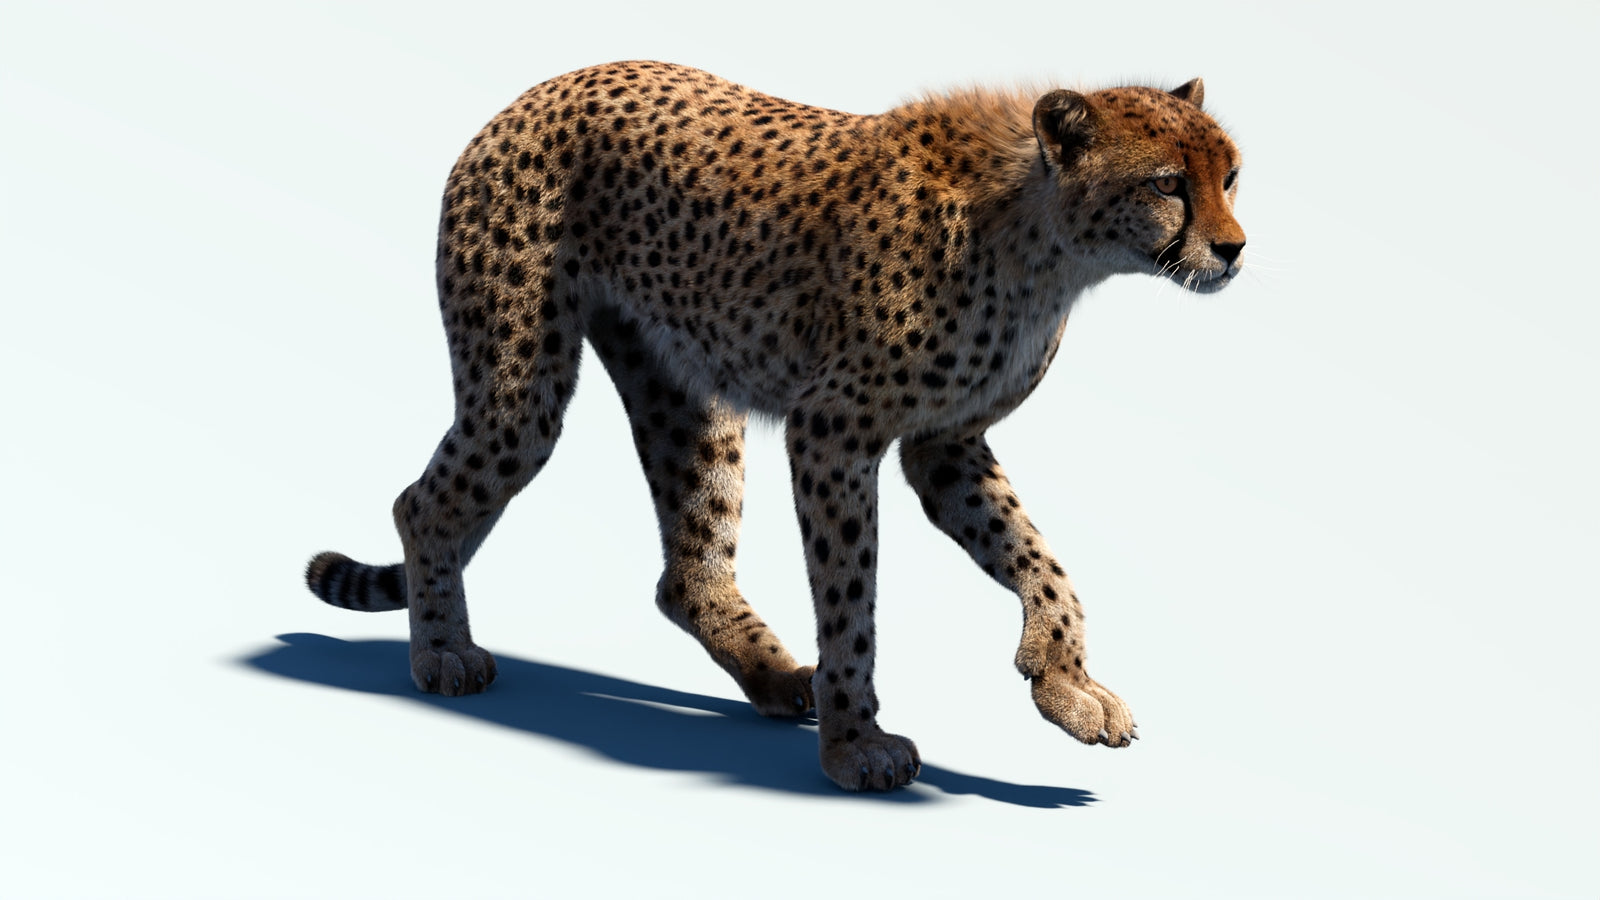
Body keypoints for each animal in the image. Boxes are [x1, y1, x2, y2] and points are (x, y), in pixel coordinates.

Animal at [304, 60, 1245, 792]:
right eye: (1167, 183)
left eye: (1230, 175)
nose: (1235, 248)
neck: (1045, 241)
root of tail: (536, 92)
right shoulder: (834, 432)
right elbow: (852, 600)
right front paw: (857, 744)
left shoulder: (943, 446)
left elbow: (1041, 560)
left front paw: (1066, 682)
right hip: (521, 384)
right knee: (424, 503)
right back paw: (442, 655)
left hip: (683, 392)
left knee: (685, 571)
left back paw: (772, 675)